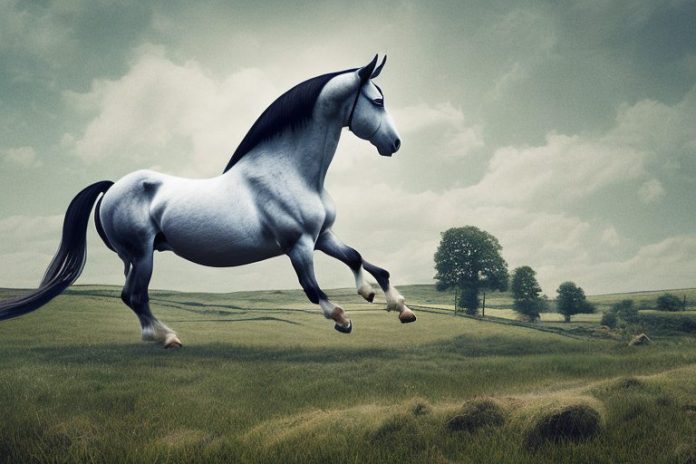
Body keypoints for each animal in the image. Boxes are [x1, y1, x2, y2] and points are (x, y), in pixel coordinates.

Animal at [0, 55, 416, 348]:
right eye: (378, 101)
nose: (395, 144)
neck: (290, 171)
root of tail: (113, 187)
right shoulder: (297, 244)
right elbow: (313, 289)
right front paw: (344, 319)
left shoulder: (322, 235)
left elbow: (361, 259)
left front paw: (394, 304)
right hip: (142, 254)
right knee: (134, 296)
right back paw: (168, 338)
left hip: (132, 258)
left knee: (131, 296)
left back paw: (157, 336)